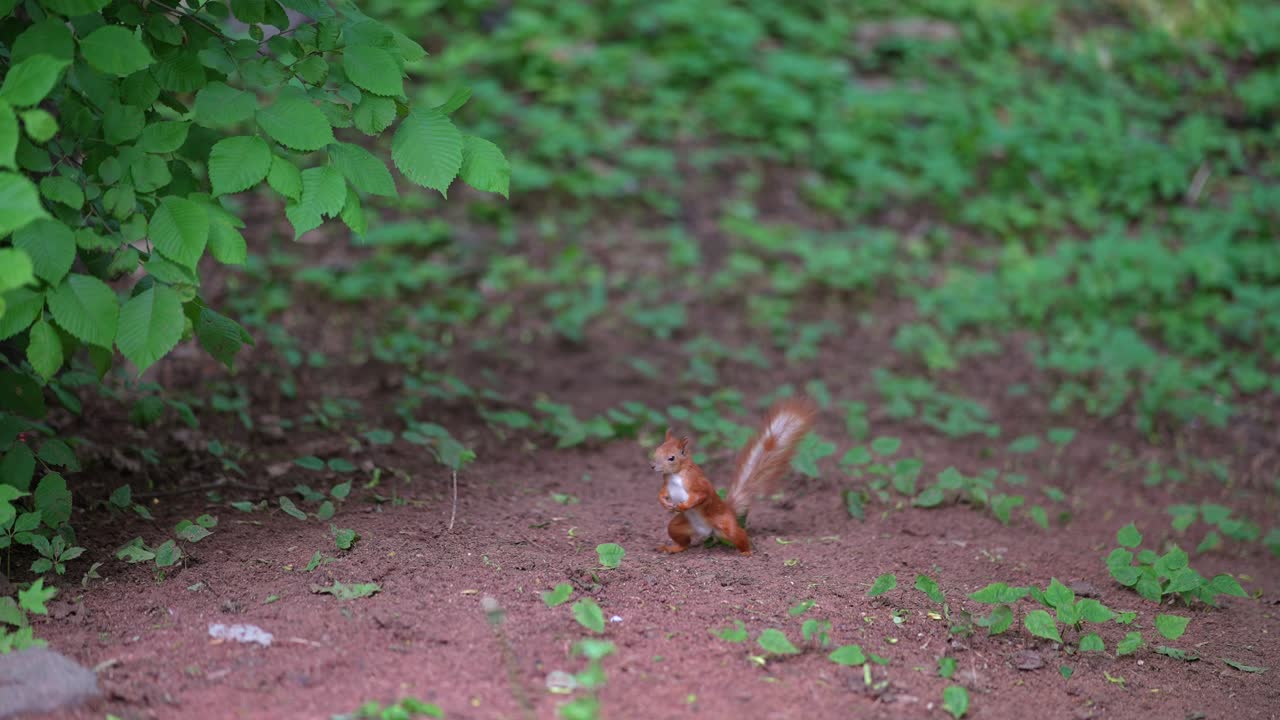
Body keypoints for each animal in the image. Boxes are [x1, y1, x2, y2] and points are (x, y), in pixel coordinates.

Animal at [649, 397, 818, 556]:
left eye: (671, 458)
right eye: (657, 450)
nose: (652, 466)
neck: (675, 475)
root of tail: (708, 531)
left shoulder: (696, 482)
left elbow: (701, 495)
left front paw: (683, 506)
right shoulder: (667, 483)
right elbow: (662, 493)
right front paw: (664, 503)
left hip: (726, 525)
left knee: (739, 534)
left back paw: (747, 551)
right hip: (678, 527)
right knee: (682, 541)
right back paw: (672, 548)